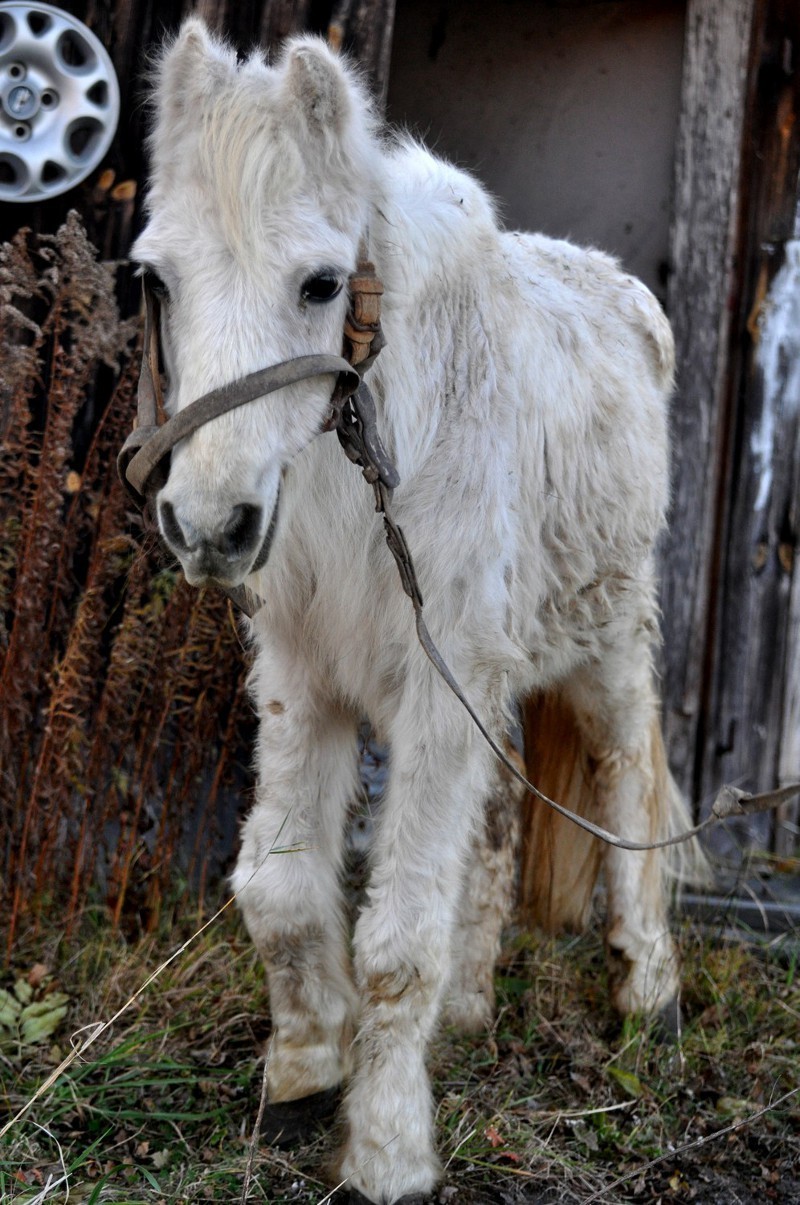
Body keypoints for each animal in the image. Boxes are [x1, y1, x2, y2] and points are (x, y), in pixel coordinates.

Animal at [131, 21, 698, 1205]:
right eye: (155, 277)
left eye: (319, 282)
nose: (207, 523)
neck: (360, 459)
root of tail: (623, 291)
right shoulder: (306, 681)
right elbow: (279, 889)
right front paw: (304, 1078)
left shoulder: (436, 697)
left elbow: (395, 940)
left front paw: (387, 1147)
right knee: (496, 821)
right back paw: (472, 1012)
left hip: (609, 642)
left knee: (627, 783)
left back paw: (649, 1002)